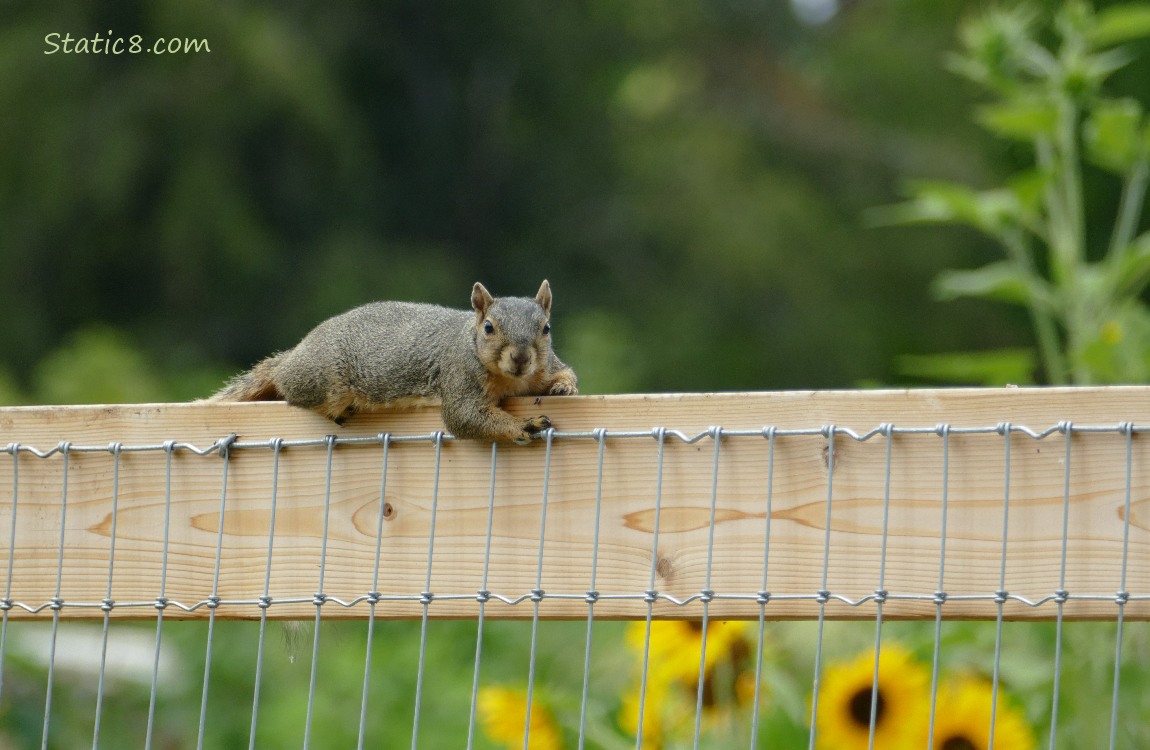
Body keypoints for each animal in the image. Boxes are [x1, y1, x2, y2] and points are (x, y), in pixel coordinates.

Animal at [210, 280, 578, 443]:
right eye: (488, 328)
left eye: (546, 328)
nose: (521, 358)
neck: (513, 379)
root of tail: (295, 354)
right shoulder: (458, 377)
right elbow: (464, 417)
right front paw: (523, 425)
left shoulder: (543, 366)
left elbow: (562, 371)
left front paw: (564, 386)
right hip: (324, 380)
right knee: (291, 389)